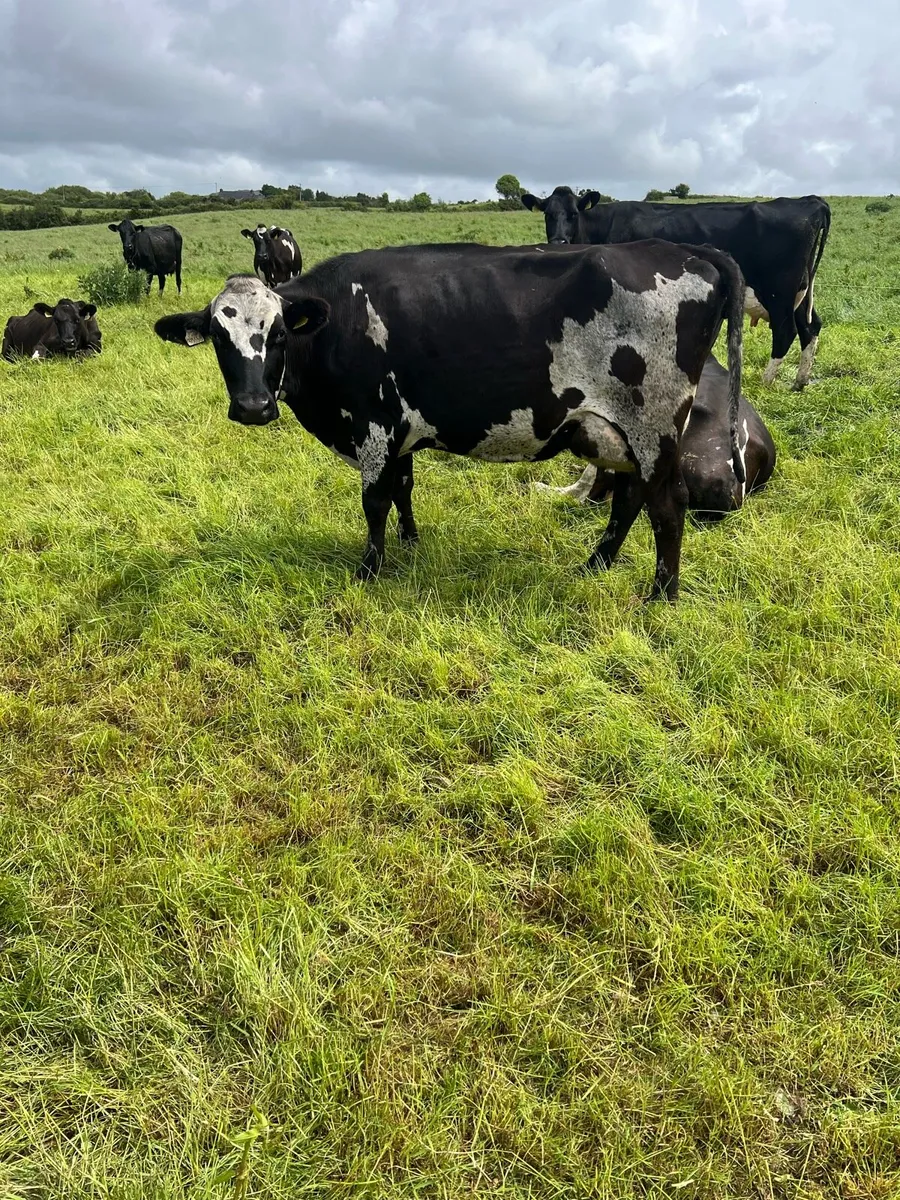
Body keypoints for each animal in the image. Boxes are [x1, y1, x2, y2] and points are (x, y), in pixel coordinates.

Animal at [154, 239, 745, 601]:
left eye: (277, 334)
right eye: (218, 337)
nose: (253, 407)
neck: (336, 321)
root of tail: (683, 248)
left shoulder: (374, 424)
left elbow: (374, 501)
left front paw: (370, 568)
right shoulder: (399, 431)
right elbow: (404, 488)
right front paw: (412, 544)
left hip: (654, 427)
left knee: (667, 507)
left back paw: (661, 595)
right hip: (616, 434)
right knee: (628, 500)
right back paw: (595, 566)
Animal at [522, 186, 830, 391]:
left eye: (574, 214)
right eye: (548, 214)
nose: (559, 242)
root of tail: (811, 201)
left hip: (779, 293)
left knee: (786, 332)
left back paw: (765, 382)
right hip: (801, 294)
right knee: (811, 327)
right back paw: (800, 381)